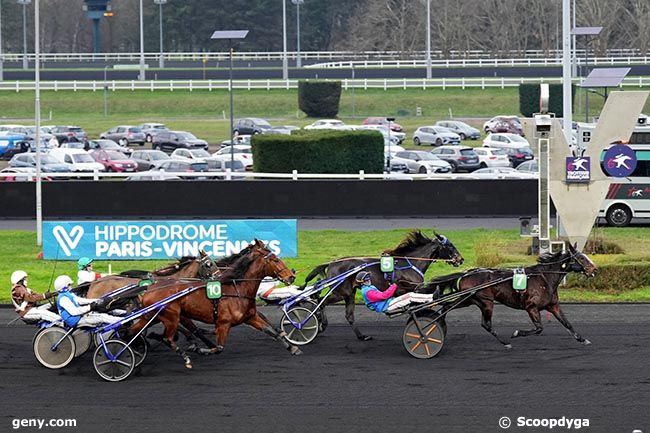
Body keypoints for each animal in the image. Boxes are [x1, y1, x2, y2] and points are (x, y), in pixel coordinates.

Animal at [126, 240, 298, 368]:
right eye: (275, 260)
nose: (291, 276)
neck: (236, 288)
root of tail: (149, 289)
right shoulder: (223, 323)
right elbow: (218, 348)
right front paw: (201, 349)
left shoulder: (250, 317)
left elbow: (271, 331)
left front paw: (292, 347)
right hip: (171, 317)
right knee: (168, 338)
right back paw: (185, 357)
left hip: (152, 316)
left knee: (132, 332)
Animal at [302, 231, 464, 340]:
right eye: (450, 246)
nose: (460, 259)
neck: (410, 263)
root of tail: (331, 263)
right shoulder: (405, 288)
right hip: (341, 292)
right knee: (320, 301)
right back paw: (321, 323)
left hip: (349, 293)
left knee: (348, 315)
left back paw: (362, 336)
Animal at [418, 243, 596, 348]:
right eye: (581, 258)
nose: (594, 269)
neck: (545, 277)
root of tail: (467, 273)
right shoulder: (531, 307)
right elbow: (539, 328)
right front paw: (516, 333)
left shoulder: (553, 306)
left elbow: (567, 324)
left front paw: (583, 339)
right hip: (485, 302)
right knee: (485, 324)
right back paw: (505, 342)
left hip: (470, 299)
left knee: (448, 306)